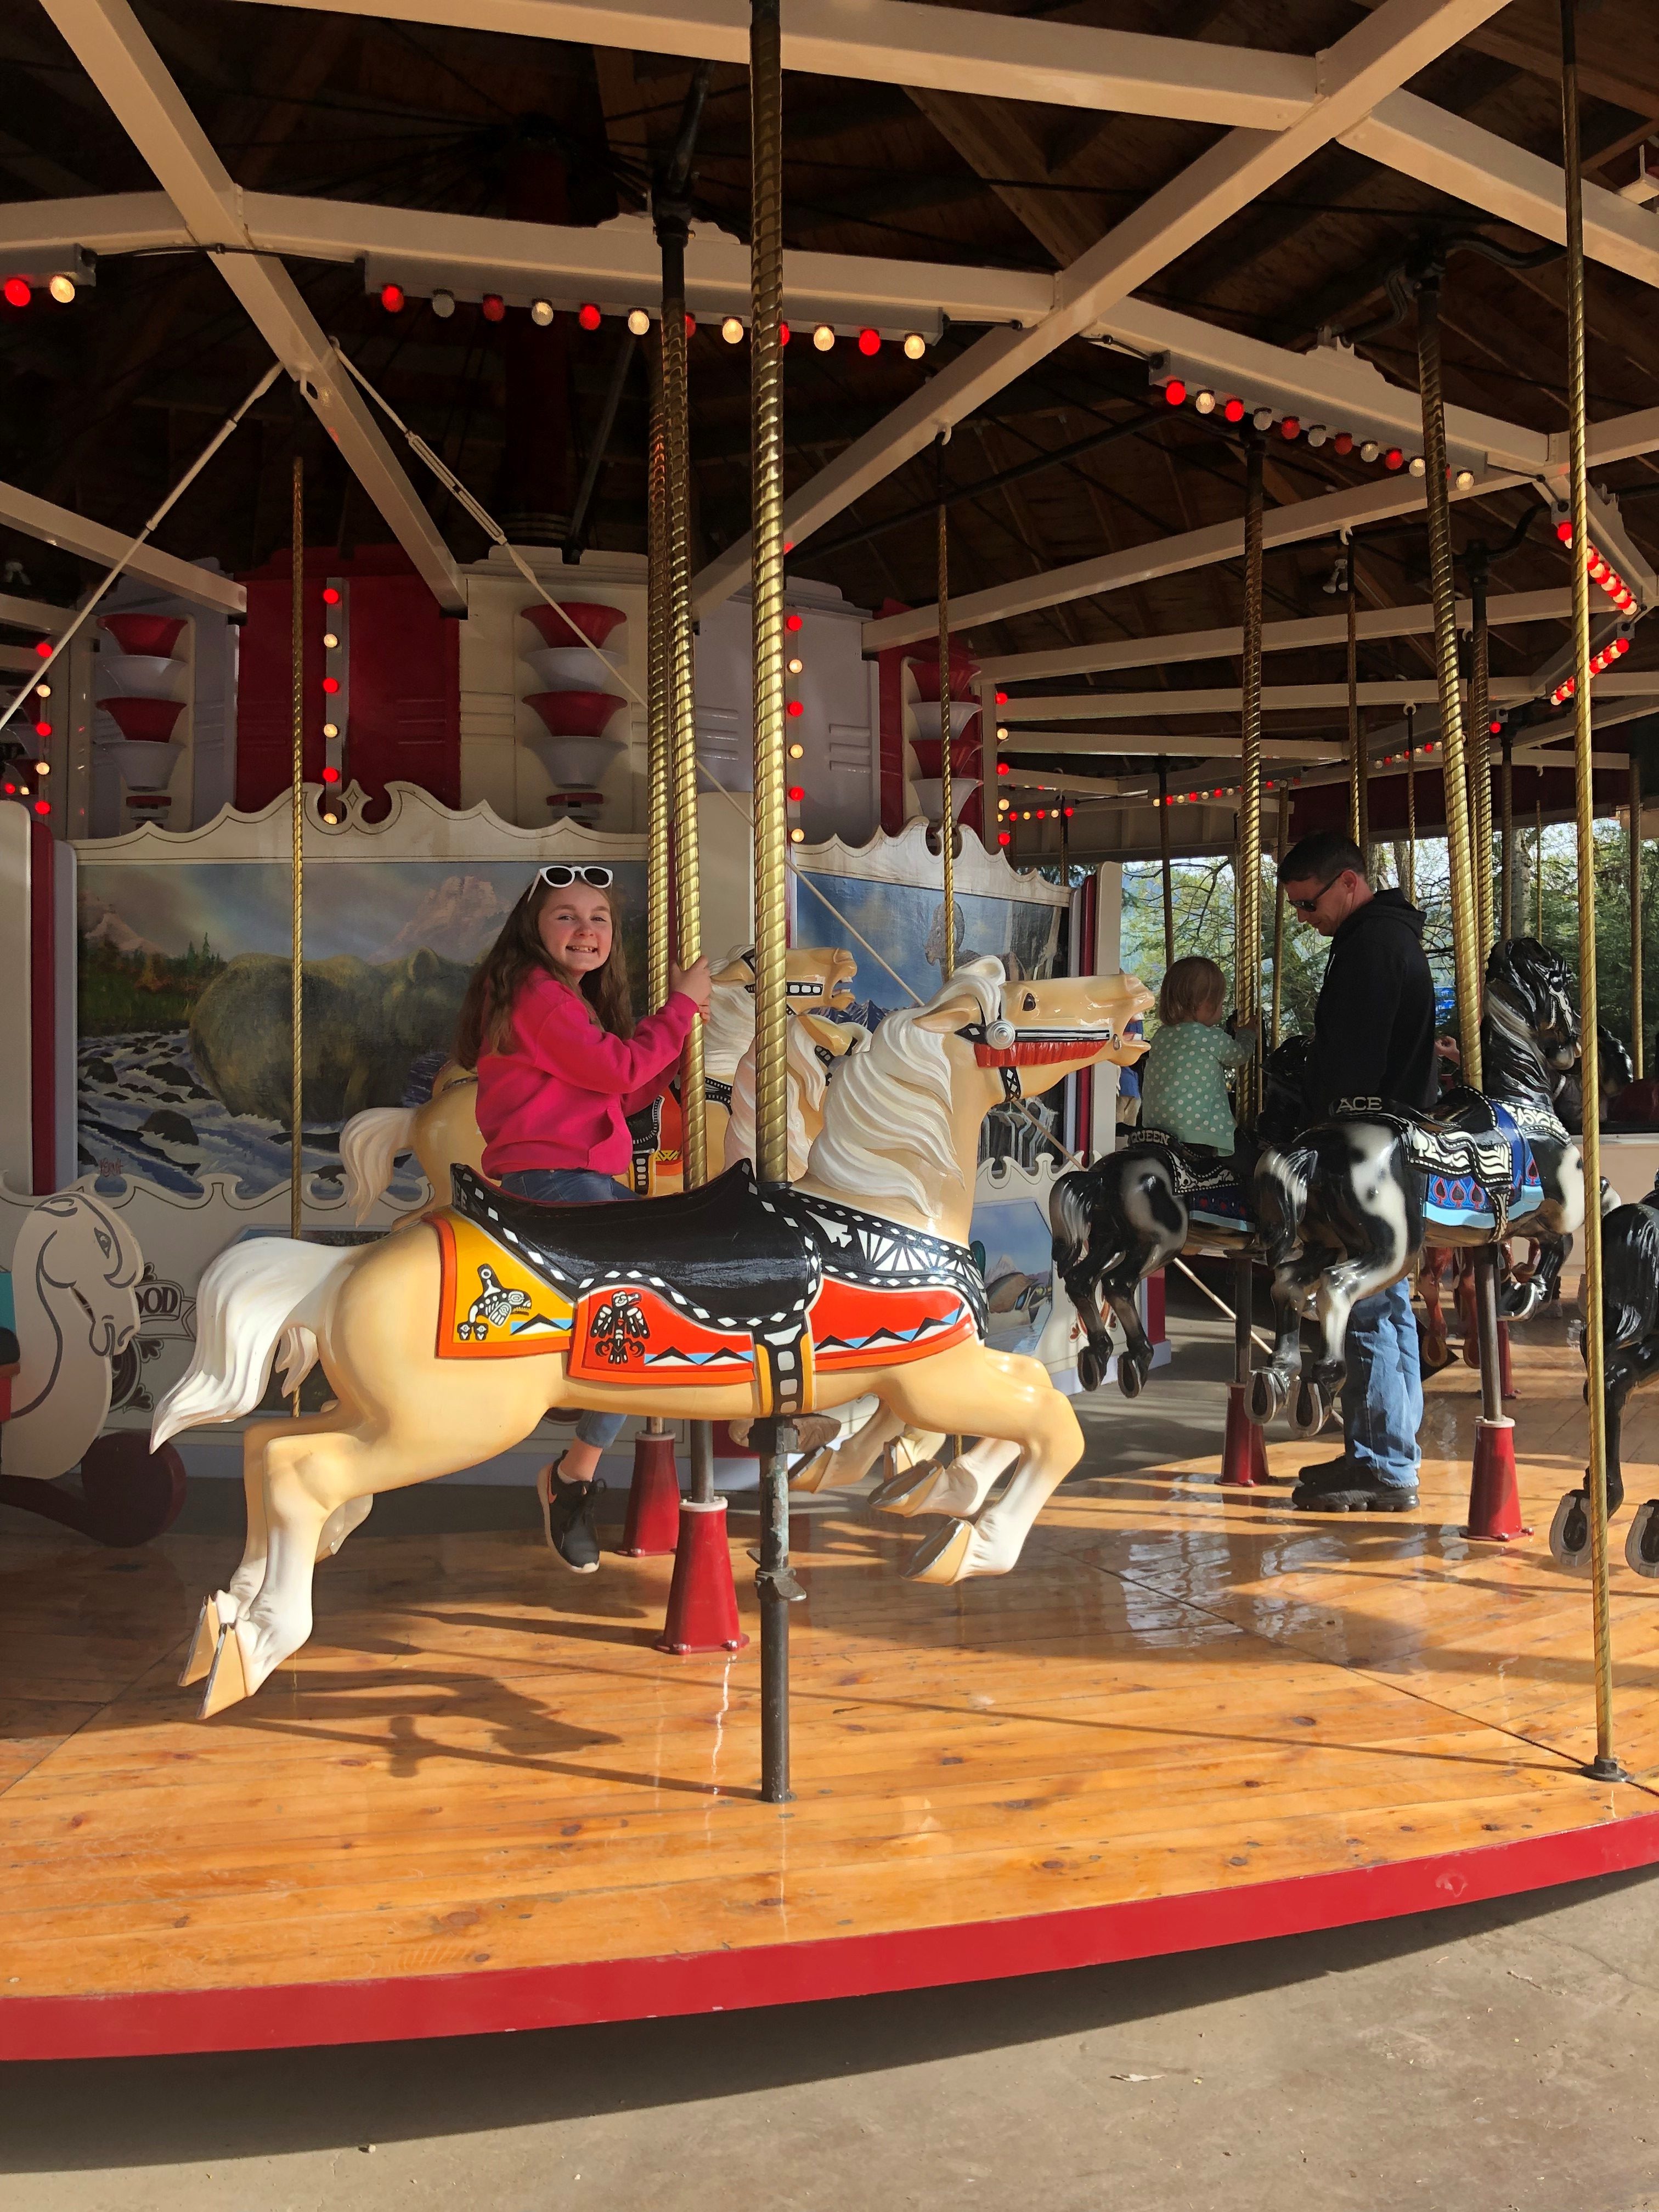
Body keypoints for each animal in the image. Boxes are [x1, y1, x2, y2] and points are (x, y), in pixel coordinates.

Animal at [1256, 933, 1593, 1433]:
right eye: (1562, 984)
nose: (1576, 1043)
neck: (1524, 1099)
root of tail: (1317, 1149)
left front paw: (1514, 1290)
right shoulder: (1558, 1210)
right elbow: (1563, 1244)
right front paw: (1521, 1296)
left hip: (1328, 1240)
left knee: (1289, 1283)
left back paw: (1277, 1378)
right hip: (1393, 1248)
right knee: (1335, 1288)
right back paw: (1323, 1379)